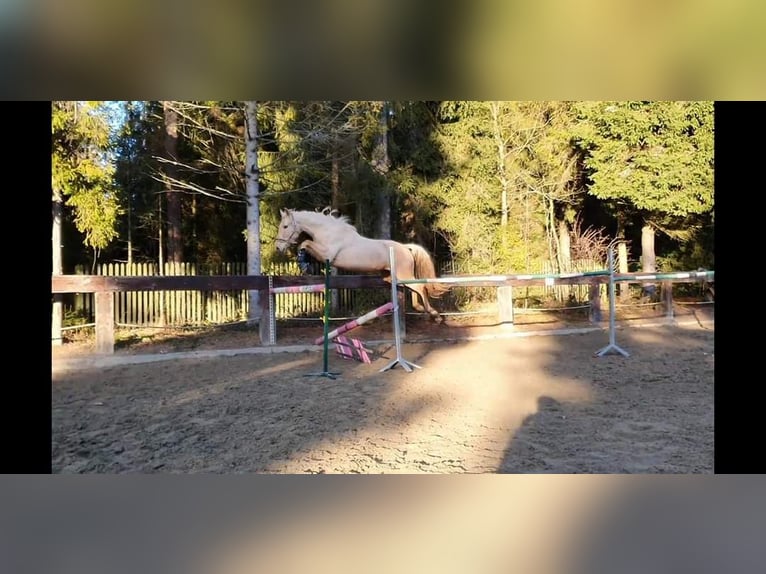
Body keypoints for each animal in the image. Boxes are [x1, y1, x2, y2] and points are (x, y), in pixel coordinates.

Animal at [274, 209, 450, 322]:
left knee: (420, 287)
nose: (278, 248)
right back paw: (420, 308)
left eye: (285, 226)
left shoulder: (326, 254)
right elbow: (304, 244)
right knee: (414, 288)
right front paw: (305, 265)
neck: (327, 231)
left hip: (403, 275)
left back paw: (435, 315)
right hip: (395, 278)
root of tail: (406, 248)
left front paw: (304, 265)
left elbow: (304, 243)